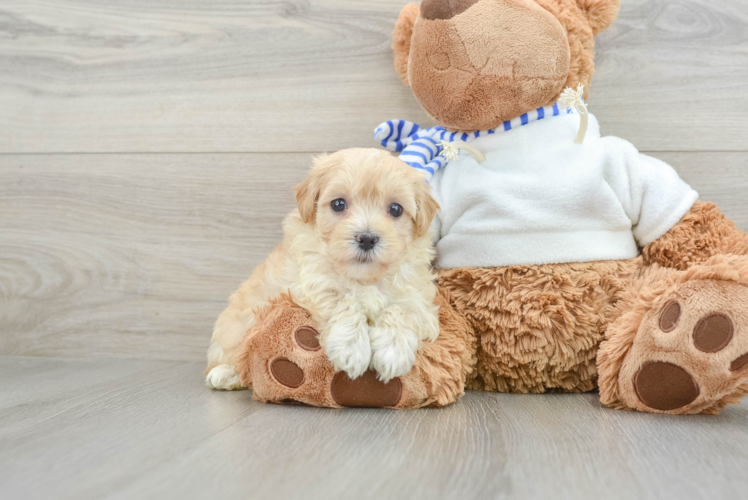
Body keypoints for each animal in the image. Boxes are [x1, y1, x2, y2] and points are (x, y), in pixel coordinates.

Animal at [206, 148, 438, 390]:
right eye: (338, 204)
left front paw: (393, 350)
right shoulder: (308, 282)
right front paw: (351, 348)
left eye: (395, 209)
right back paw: (226, 373)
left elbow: (403, 310)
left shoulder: (418, 298)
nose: (366, 238)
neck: (363, 277)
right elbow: (342, 300)